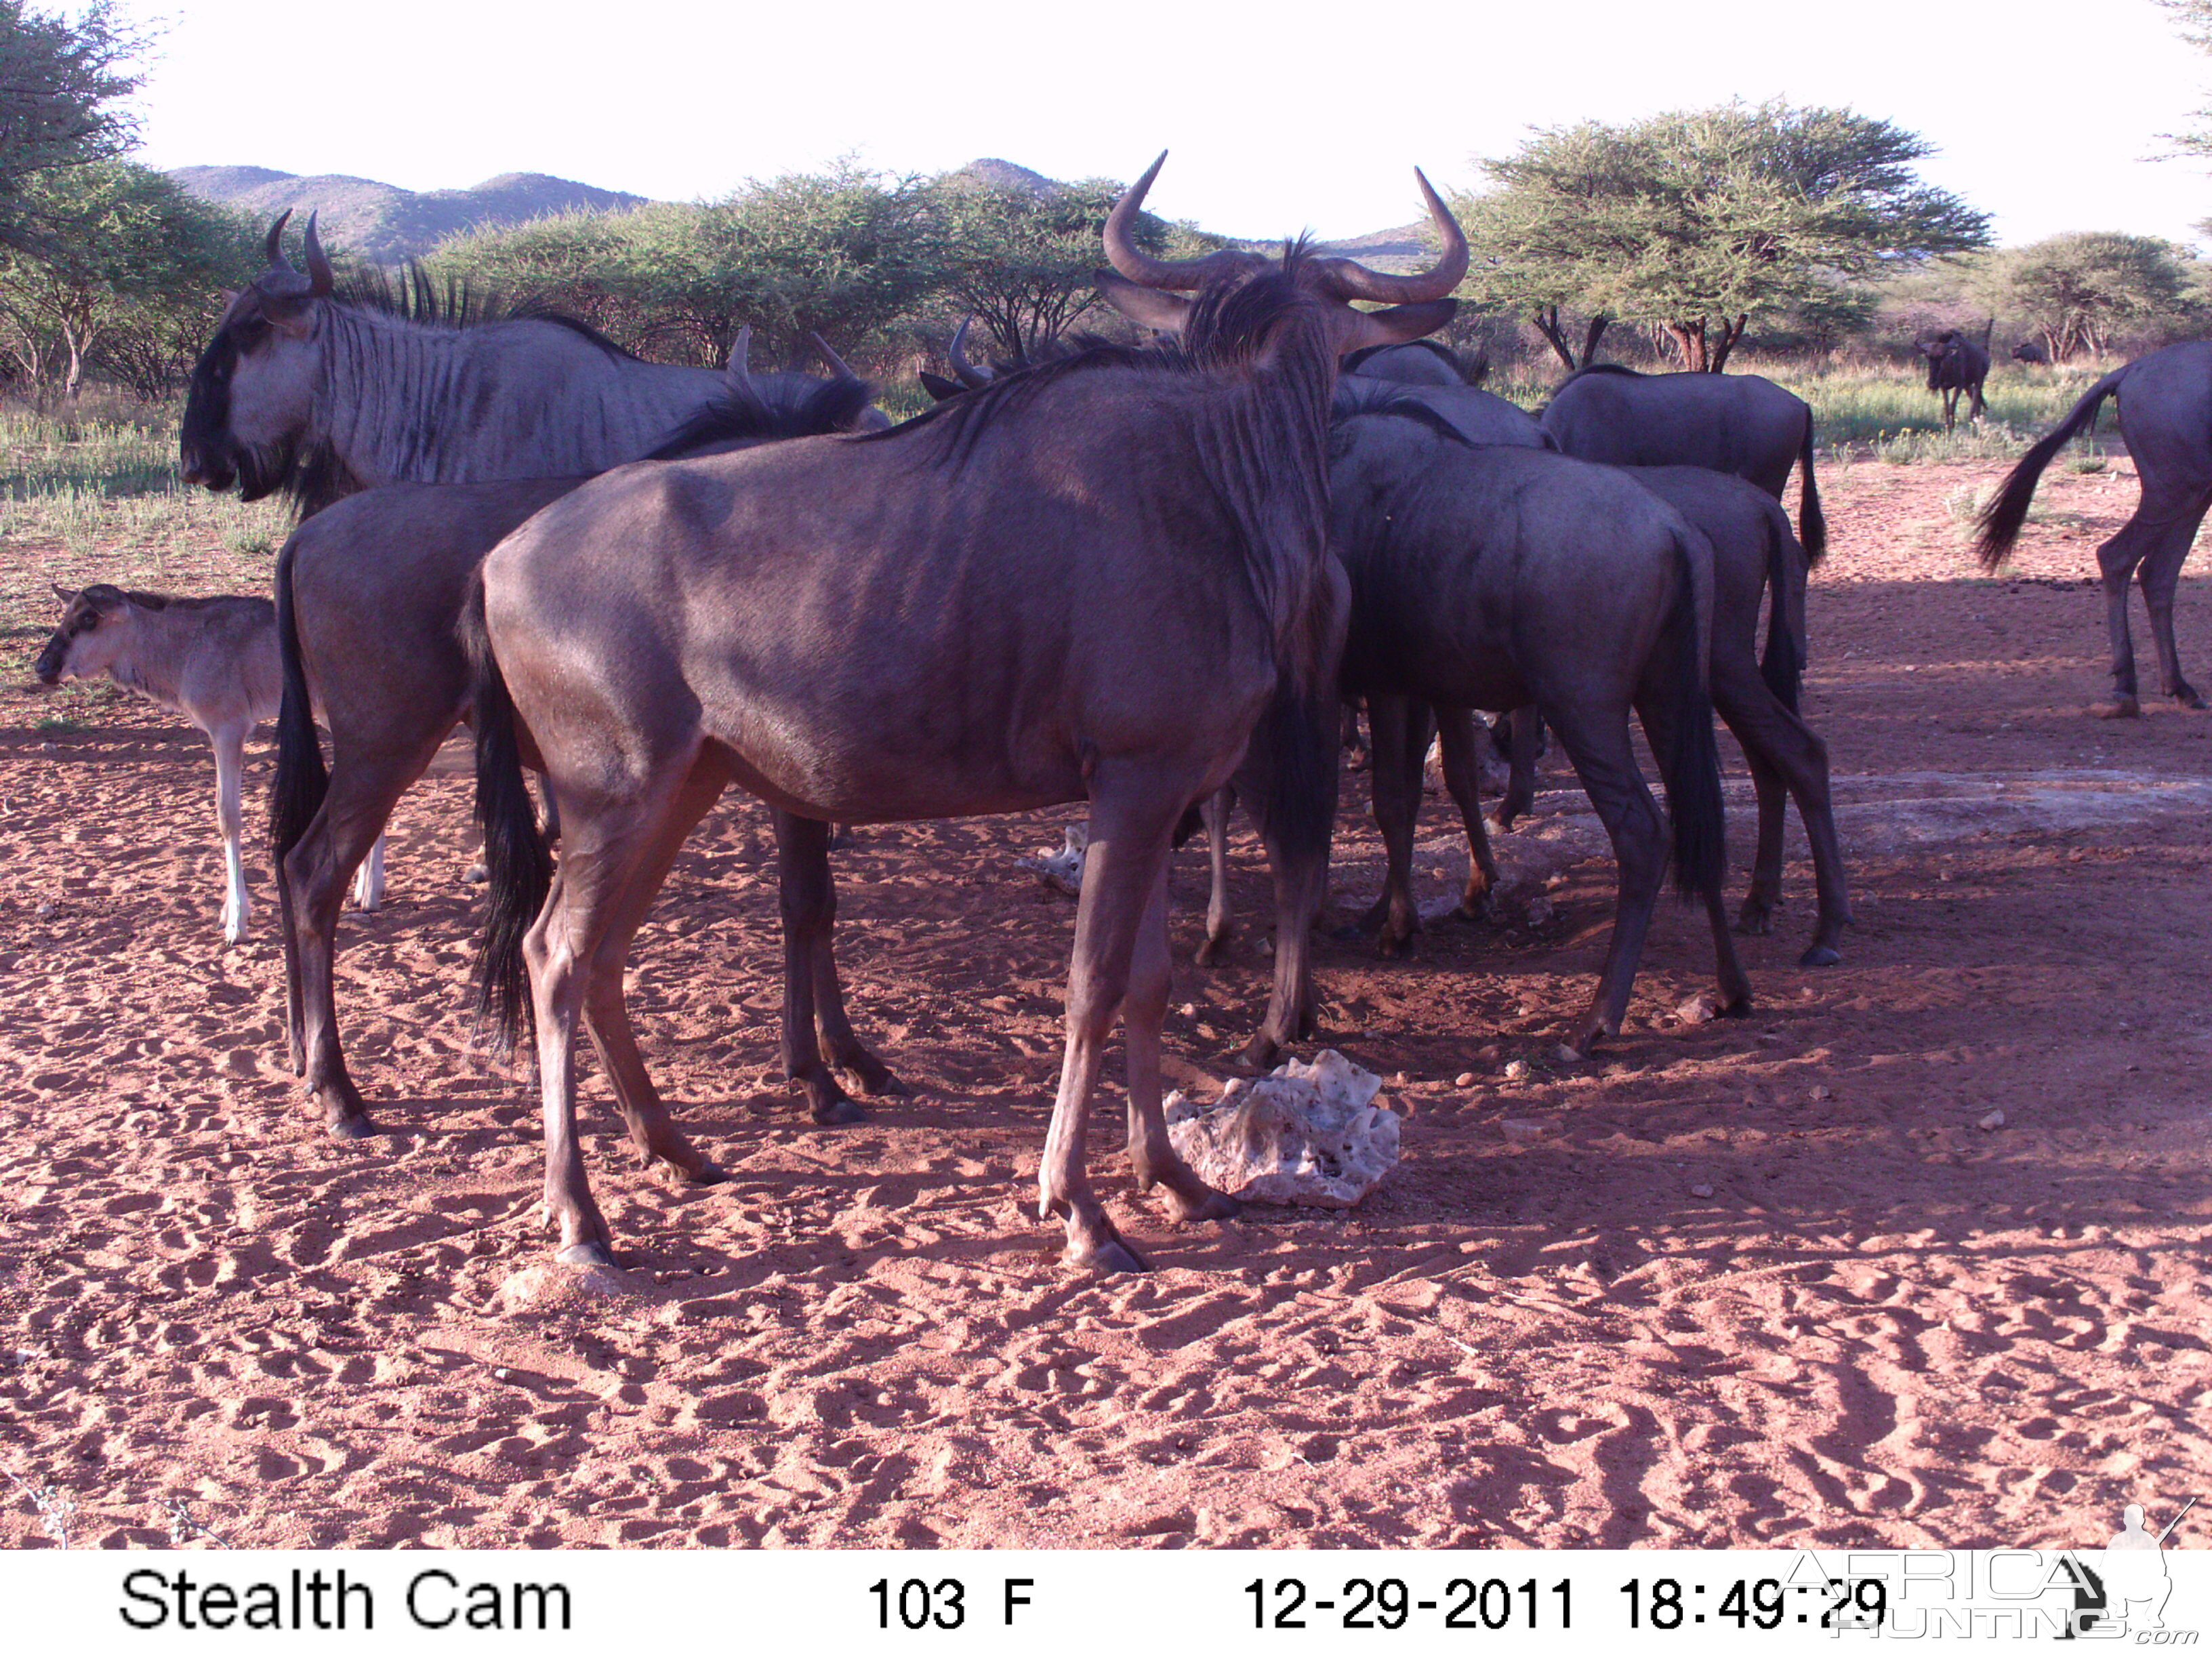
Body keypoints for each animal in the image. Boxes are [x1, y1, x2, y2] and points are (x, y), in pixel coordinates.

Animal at [33, 583, 384, 946]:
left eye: (89, 619)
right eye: (65, 616)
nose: (44, 667)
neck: (183, 649)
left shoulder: (229, 728)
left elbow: (227, 818)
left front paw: (238, 923)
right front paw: (229, 912)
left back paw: (370, 892)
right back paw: (366, 889)